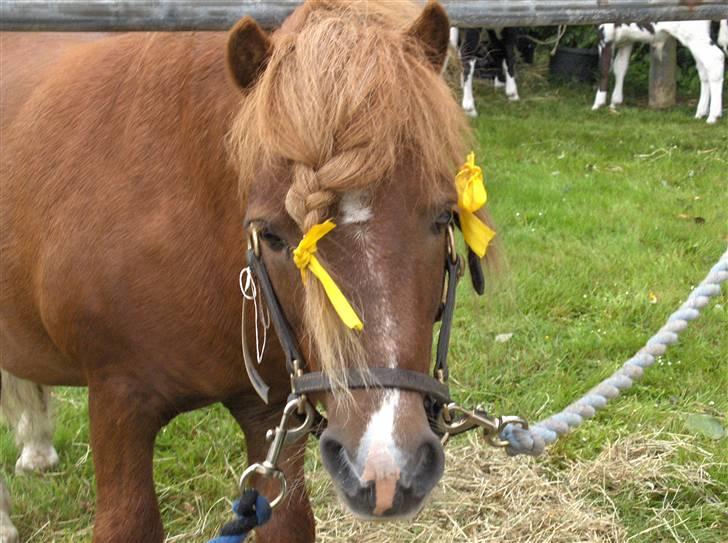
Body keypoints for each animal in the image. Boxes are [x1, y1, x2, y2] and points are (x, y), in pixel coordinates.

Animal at [592, 20, 726, 124]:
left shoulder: (606, 32)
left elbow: (603, 69)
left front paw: (597, 104)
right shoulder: (627, 39)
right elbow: (620, 67)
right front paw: (615, 102)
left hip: (693, 34)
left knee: (715, 59)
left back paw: (713, 116)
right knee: (704, 71)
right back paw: (700, 113)